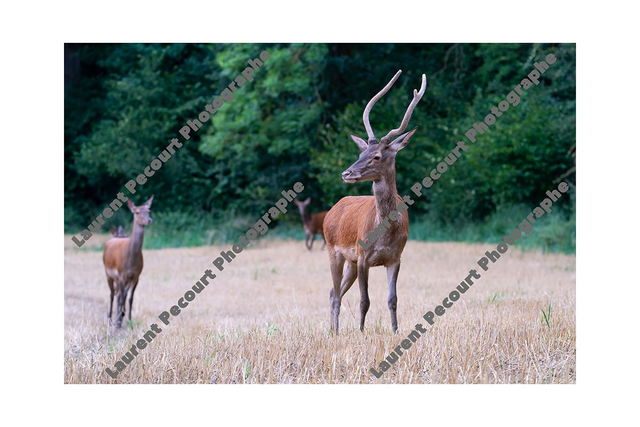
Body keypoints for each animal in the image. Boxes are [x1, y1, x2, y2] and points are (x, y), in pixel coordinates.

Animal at [103, 196, 153, 328]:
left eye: (148, 211)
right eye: (137, 212)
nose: (149, 220)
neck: (131, 260)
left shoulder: (136, 276)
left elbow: (130, 298)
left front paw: (129, 319)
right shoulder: (121, 275)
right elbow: (122, 297)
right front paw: (119, 321)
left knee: (119, 294)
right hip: (108, 274)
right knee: (112, 294)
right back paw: (111, 319)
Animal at [323, 70, 426, 334]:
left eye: (376, 156)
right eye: (361, 154)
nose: (346, 173)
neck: (385, 231)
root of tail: (331, 212)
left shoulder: (395, 258)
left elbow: (392, 299)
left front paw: (395, 331)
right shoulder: (363, 255)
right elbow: (364, 300)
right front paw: (361, 331)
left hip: (349, 261)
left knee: (334, 292)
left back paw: (334, 330)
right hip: (333, 250)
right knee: (334, 293)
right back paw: (334, 332)